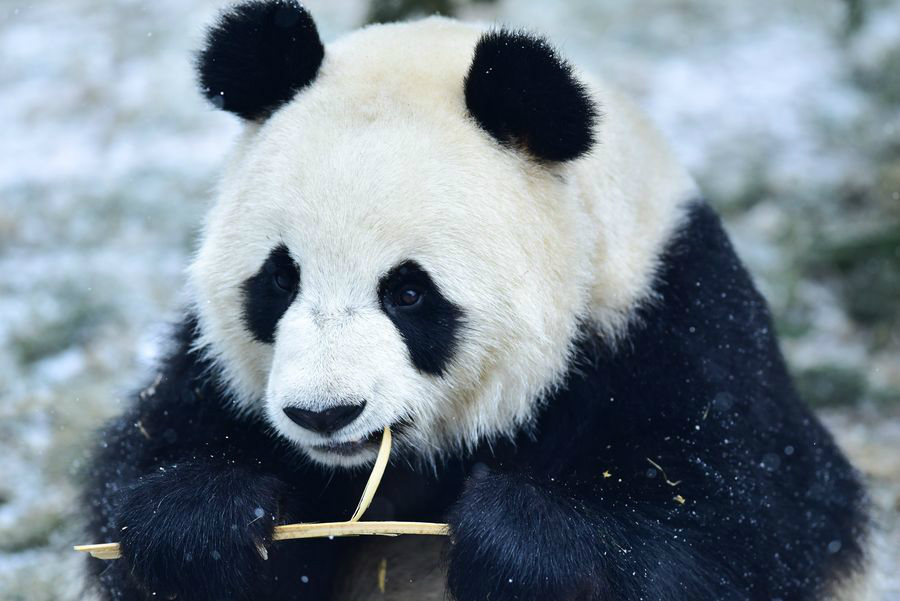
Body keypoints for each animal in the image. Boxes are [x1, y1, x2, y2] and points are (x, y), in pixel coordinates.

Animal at [83, 2, 872, 601]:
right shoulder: (209, 374)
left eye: (408, 292)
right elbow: (149, 461)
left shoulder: (675, 323)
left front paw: (517, 543)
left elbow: (733, 528)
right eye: (279, 280)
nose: (324, 413)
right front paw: (205, 524)